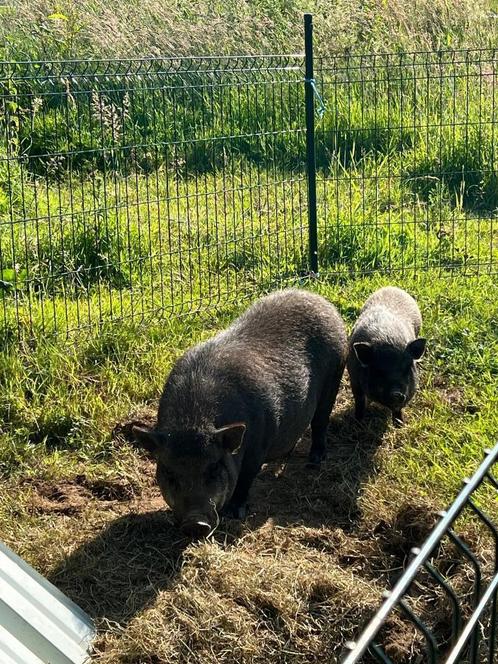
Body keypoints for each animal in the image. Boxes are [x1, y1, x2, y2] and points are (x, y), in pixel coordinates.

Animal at [132, 288, 346, 536]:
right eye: (169, 472)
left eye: (214, 468)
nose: (195, 523)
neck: (193, 421)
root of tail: (321, 301)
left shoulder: (258, 444)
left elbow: (246, 477)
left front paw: (235, 513)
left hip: (334, 377)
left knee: (320, 422)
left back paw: (314, 461)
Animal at [348, 288, 426, 428]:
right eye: (378, 371)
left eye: (407, 369)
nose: (396, 393)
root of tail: (392, 287)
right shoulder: (354, 379)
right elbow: (359, 401)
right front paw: (358, 422)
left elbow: (398, 409)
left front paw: (399, 425)